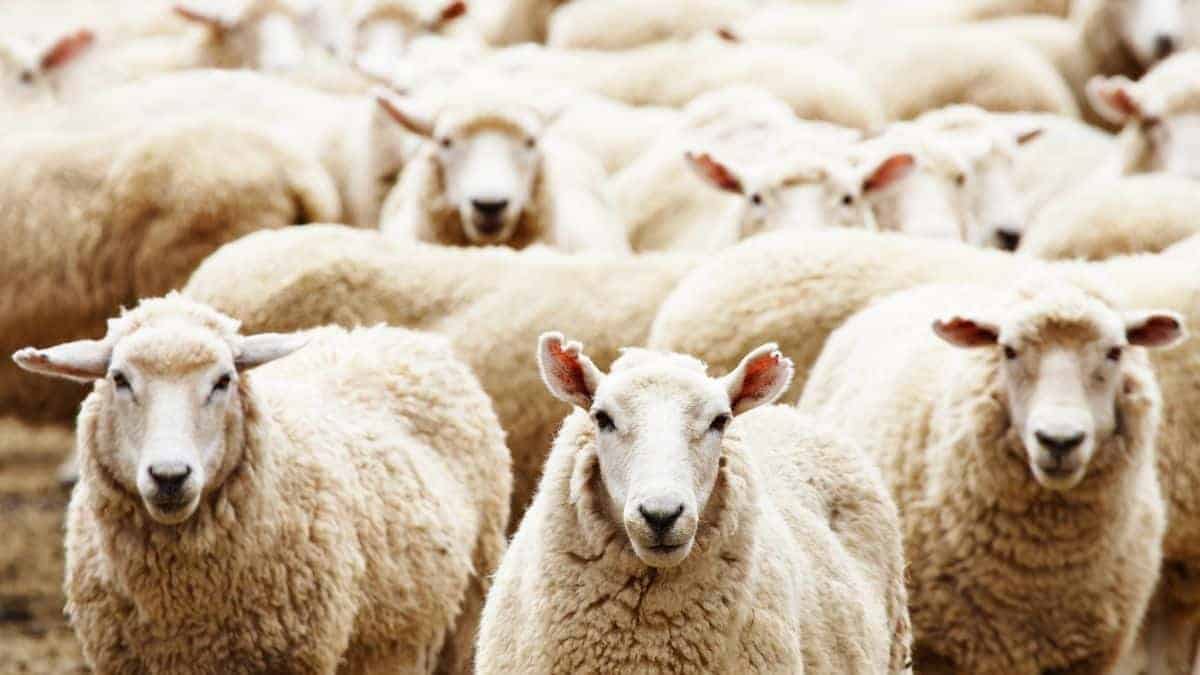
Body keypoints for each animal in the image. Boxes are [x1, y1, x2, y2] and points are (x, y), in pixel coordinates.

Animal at [13, 293, 511, 674]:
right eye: (119, 379)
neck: (184, 607)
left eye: (223, 380)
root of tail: (393, 334)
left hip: (466, 607)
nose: (170, 476)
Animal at [798, 277, 1179, 673]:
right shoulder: (937, 651)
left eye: (1115, 351)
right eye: (1008, 351)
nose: (1059, 440)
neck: (1038, 568)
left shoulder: (1084, 658)